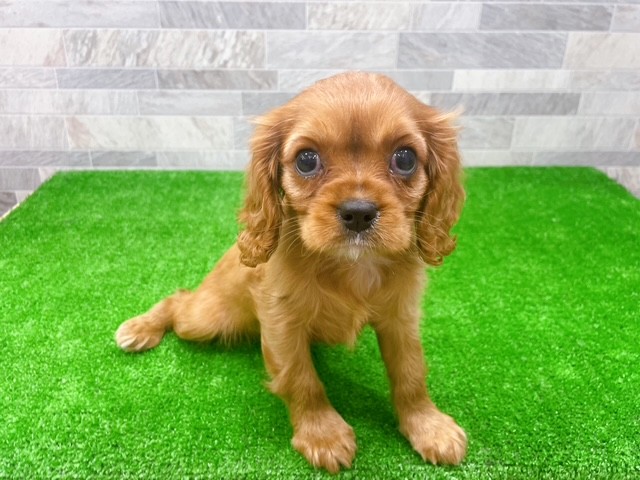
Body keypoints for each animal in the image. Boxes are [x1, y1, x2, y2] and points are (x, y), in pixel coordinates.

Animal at [115, 71, 467, 473]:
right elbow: (302, 379)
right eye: (307, 160)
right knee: (179, 301)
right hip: (206, 319)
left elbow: (411, 374)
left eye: (405, 158)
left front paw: (428, 426)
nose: (358, 212)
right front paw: (322, 435)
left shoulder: (401, 319)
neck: (351, 265)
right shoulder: (281, 321)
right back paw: (141, 328)